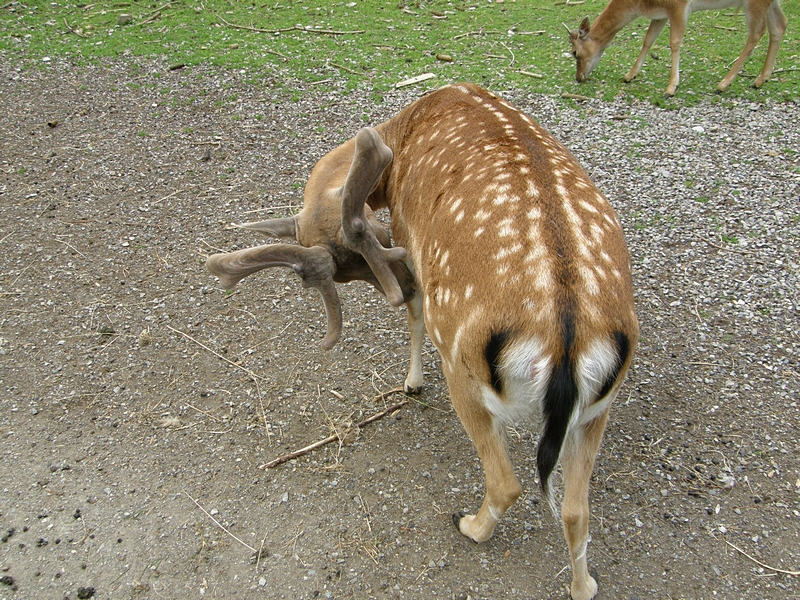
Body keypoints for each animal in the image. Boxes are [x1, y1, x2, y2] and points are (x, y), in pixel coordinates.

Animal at [205, 84, 636, 600]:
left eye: (363, 253)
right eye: (347, 269)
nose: (405, 283)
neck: (400, 136)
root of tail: (567, 338)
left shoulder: (412, 241)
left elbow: (413, 316)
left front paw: (411, 382)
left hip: (464, 369)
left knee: (507, 481)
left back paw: (470, 525)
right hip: (597, 407)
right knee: (575, 508)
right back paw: (583, 584)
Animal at [568, 0, 788, 95]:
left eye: (575, 53)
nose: (578, 77)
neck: (641, 5)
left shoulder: (679, 6)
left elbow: (674, 42)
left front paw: (671, 87)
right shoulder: (660, 13)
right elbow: (648, 39)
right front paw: (629, 75)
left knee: (757, 33)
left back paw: (724, 84)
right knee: (780, 25)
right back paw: (760, 80)